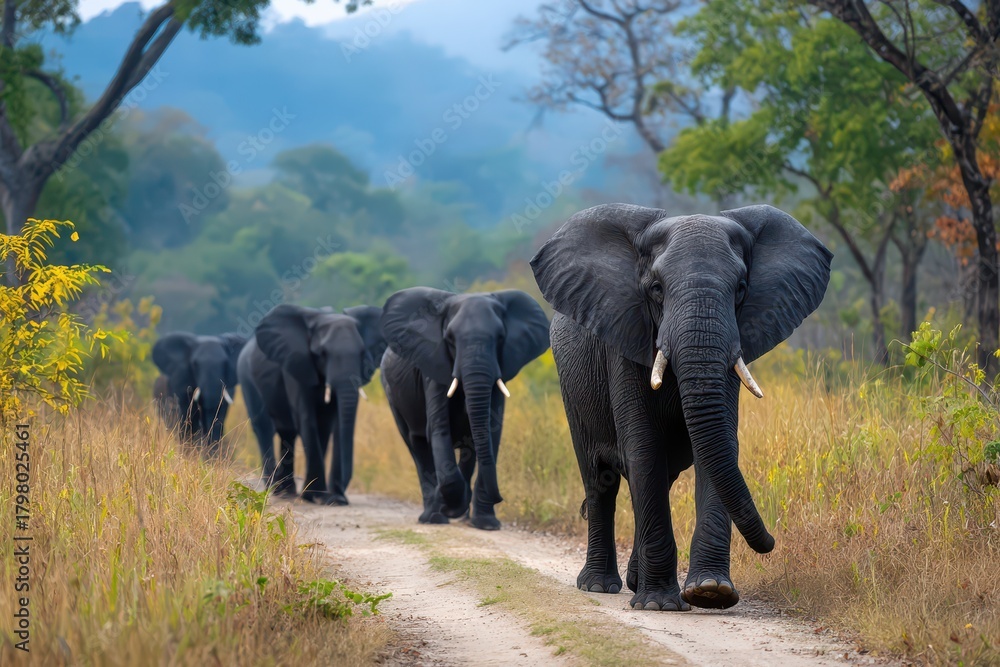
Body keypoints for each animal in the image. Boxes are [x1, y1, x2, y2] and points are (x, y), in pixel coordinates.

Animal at [237, 304, 386, 505]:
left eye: (363, 352)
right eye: (322, 353)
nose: (339, 496)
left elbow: (328, 423)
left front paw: (326, 497)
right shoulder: (298, 365)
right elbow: (307, 419)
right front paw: (315, 497)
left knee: (288, 433)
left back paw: (287, 491)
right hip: (247, 379)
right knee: (265, 428)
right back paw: (276, 490)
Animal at [380, 288, 550, 530]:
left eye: (500, 337)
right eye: (450, 339)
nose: (501, 497)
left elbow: (490, 431)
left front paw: (486, 524)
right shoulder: (433, 368)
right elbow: (438, 431)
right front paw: (452, 508)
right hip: (392, 395)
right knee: (417, 447)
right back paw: (433, 518)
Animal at [530, 203, 832, 611]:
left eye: (741, 288)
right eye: (656, 289)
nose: (770, 543)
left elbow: (718, 447)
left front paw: (711, 592)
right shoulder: (626, 335)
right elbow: (643, 447)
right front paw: (660, 605)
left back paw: (634, 581)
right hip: (572, 390)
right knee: (599, 481)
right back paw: (597, 585)